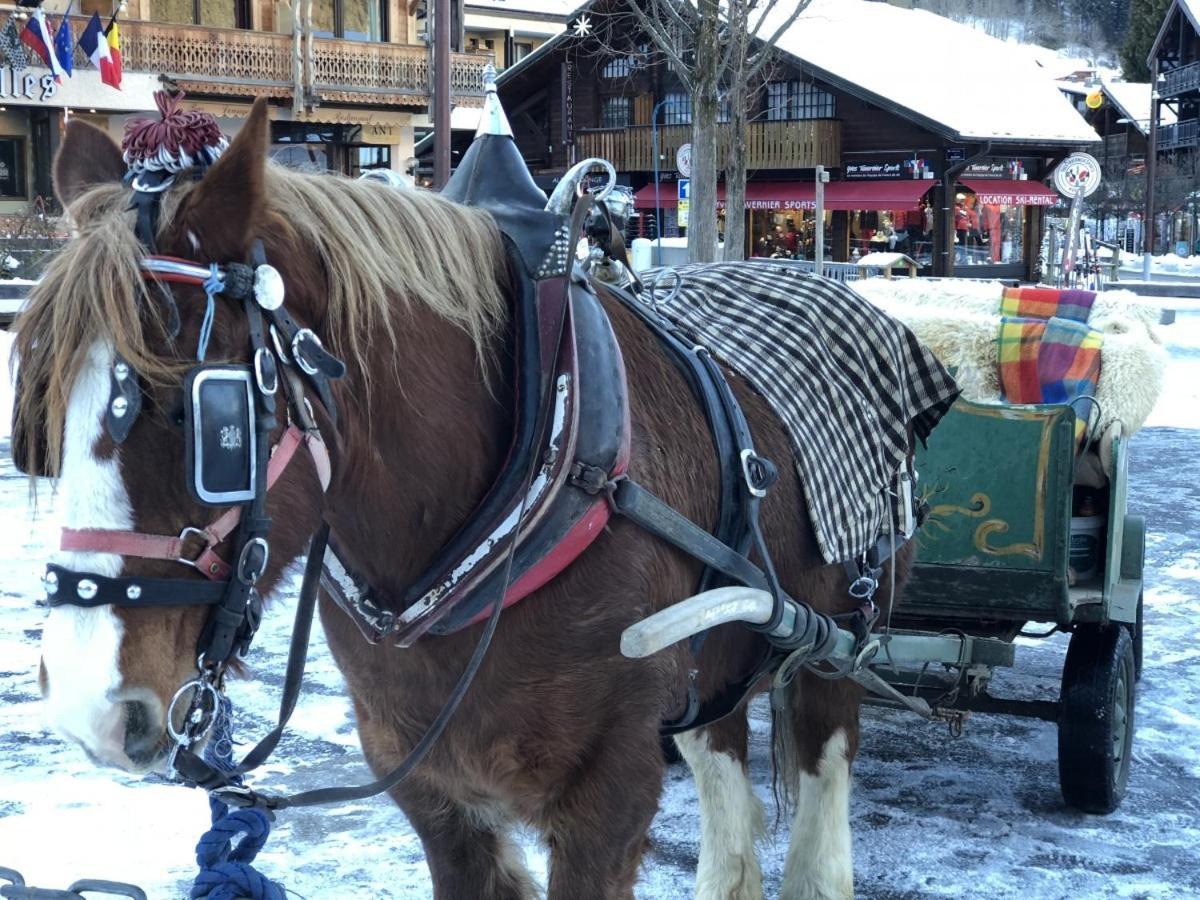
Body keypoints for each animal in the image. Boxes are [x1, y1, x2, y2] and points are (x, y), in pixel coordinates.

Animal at [21, 100, 907, 900]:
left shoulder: (608, 795)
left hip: (837, 636)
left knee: (824, 771)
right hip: (723, 645)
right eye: (42, 400)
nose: (87, 705)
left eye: (204, 414)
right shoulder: (428, 785)